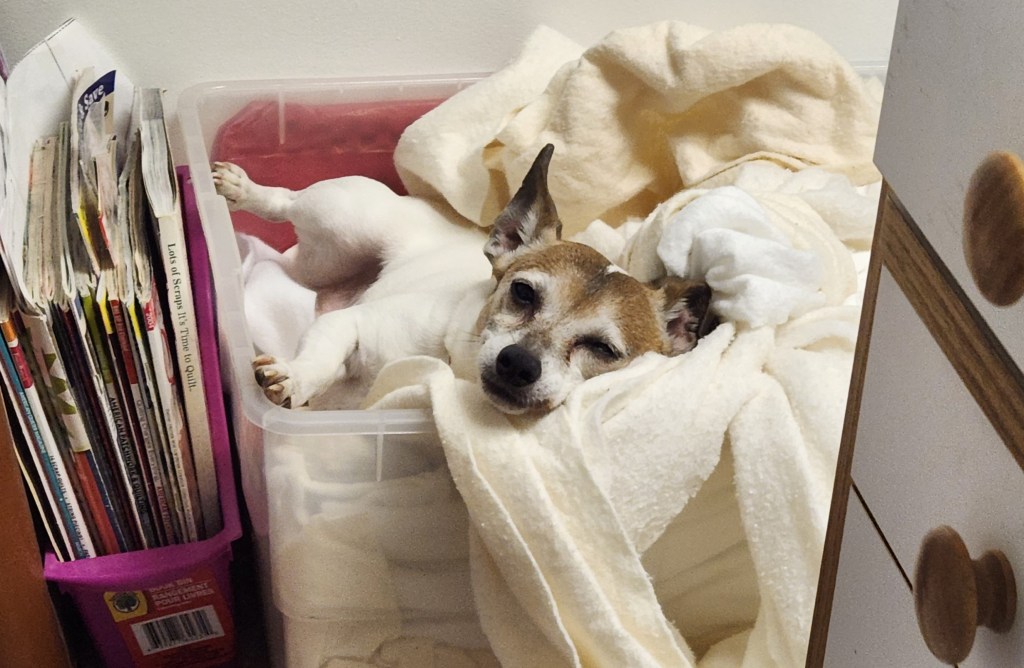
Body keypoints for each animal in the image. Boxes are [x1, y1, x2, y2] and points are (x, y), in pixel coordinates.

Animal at [212, 145, 716, 414]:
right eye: (522, 292)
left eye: (604, 350)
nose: (518, 363)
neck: (458, 371)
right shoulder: (352, 325)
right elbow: (318, 360)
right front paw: (294, 378)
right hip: (345, 222)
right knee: (287, 202)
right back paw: (245, 190)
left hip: (317, 266)